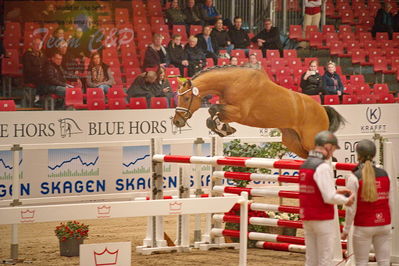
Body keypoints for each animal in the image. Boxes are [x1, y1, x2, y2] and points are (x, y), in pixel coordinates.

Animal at [173, 66, 346, 158]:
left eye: (186, 98)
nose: (177, 121)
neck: (232, 83)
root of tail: (322, 108)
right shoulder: (229, 111)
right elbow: (213, 116)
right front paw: (224, 130)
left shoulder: (239, 113)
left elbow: (212, 109)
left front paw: (223, 129)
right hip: (293, 141)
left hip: (309, 140)